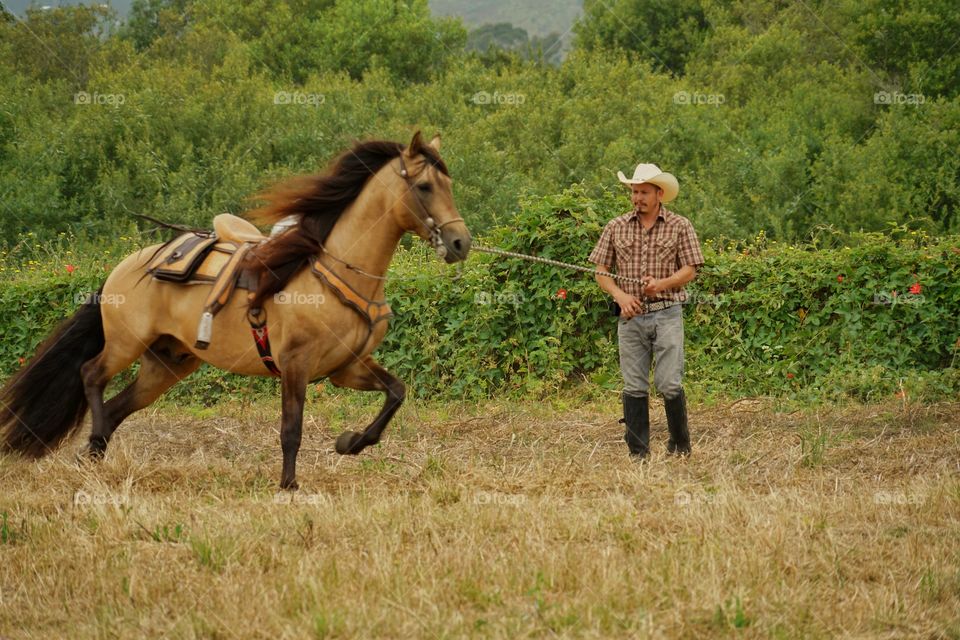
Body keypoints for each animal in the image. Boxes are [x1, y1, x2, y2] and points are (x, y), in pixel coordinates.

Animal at [0, 130, 472, 490]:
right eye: (425, 187)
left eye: (450, 184)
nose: (460, 243)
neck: (335, 272)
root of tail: (126, 265)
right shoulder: (296, 364)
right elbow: (291, 429)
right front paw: (289, 484)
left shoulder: (346, 366)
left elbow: (396, 392)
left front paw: (351, 442)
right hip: (125, 344)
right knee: (91, 376)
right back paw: (95, 442)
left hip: (166, 365)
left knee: (119, 405)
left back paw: (94, 455)